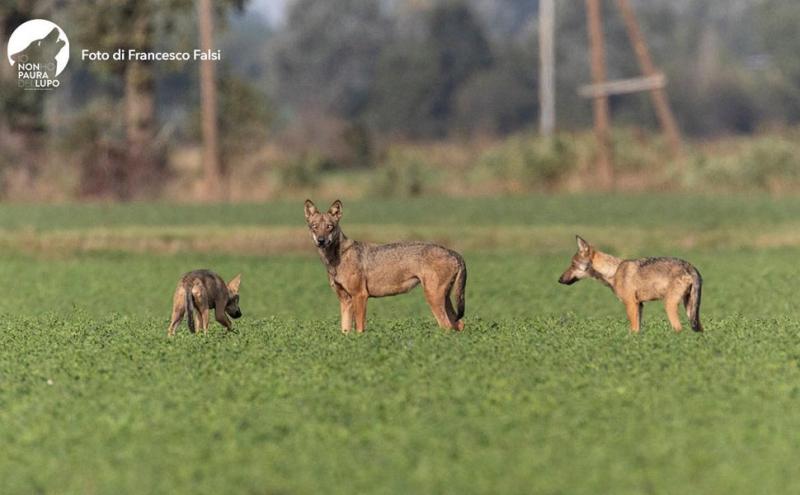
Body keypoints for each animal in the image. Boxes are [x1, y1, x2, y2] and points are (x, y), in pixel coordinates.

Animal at [306, 200, 468, 336]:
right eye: (315, 227)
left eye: (329, 227)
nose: (321, 240)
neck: (335, 259)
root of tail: (454, 252)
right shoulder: (345, 301)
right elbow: (345, 331)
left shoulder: (360, 296)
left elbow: (359, 329)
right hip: (444, 299)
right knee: (459, 324)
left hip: (433, 297)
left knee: (447, 325)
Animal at [560, 236, 704, 334]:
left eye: (572, 265)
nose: (559, 280)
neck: (613, 271)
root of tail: (691, 266)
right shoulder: (639, 305)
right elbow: (638, 330)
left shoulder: (631, 304)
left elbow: (633, 330)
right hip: (690, 309)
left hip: (670, 306)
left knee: (679, 329)